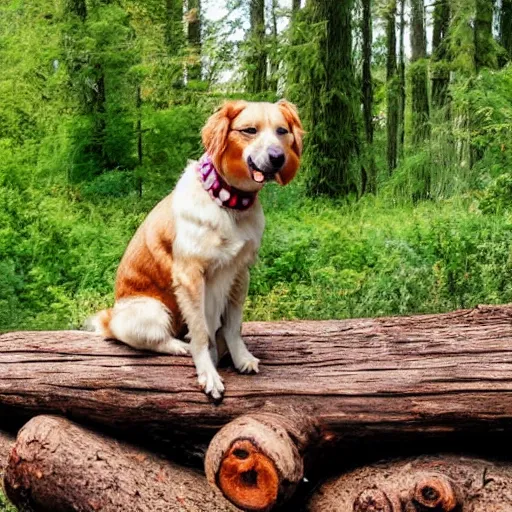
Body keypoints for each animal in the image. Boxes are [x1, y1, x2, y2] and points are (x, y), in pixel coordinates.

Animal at [91, 98, 302, 398]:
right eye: (249, 130)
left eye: (282, 131)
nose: (277, 157)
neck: (228, 204)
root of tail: (110, 319)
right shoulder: (191, 276)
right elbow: (202, 332)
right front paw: (208, 373)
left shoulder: (240, 272)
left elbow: (233, 326)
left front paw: (240, 357)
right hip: (153, 311)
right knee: (152, 340)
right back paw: (180, 345)